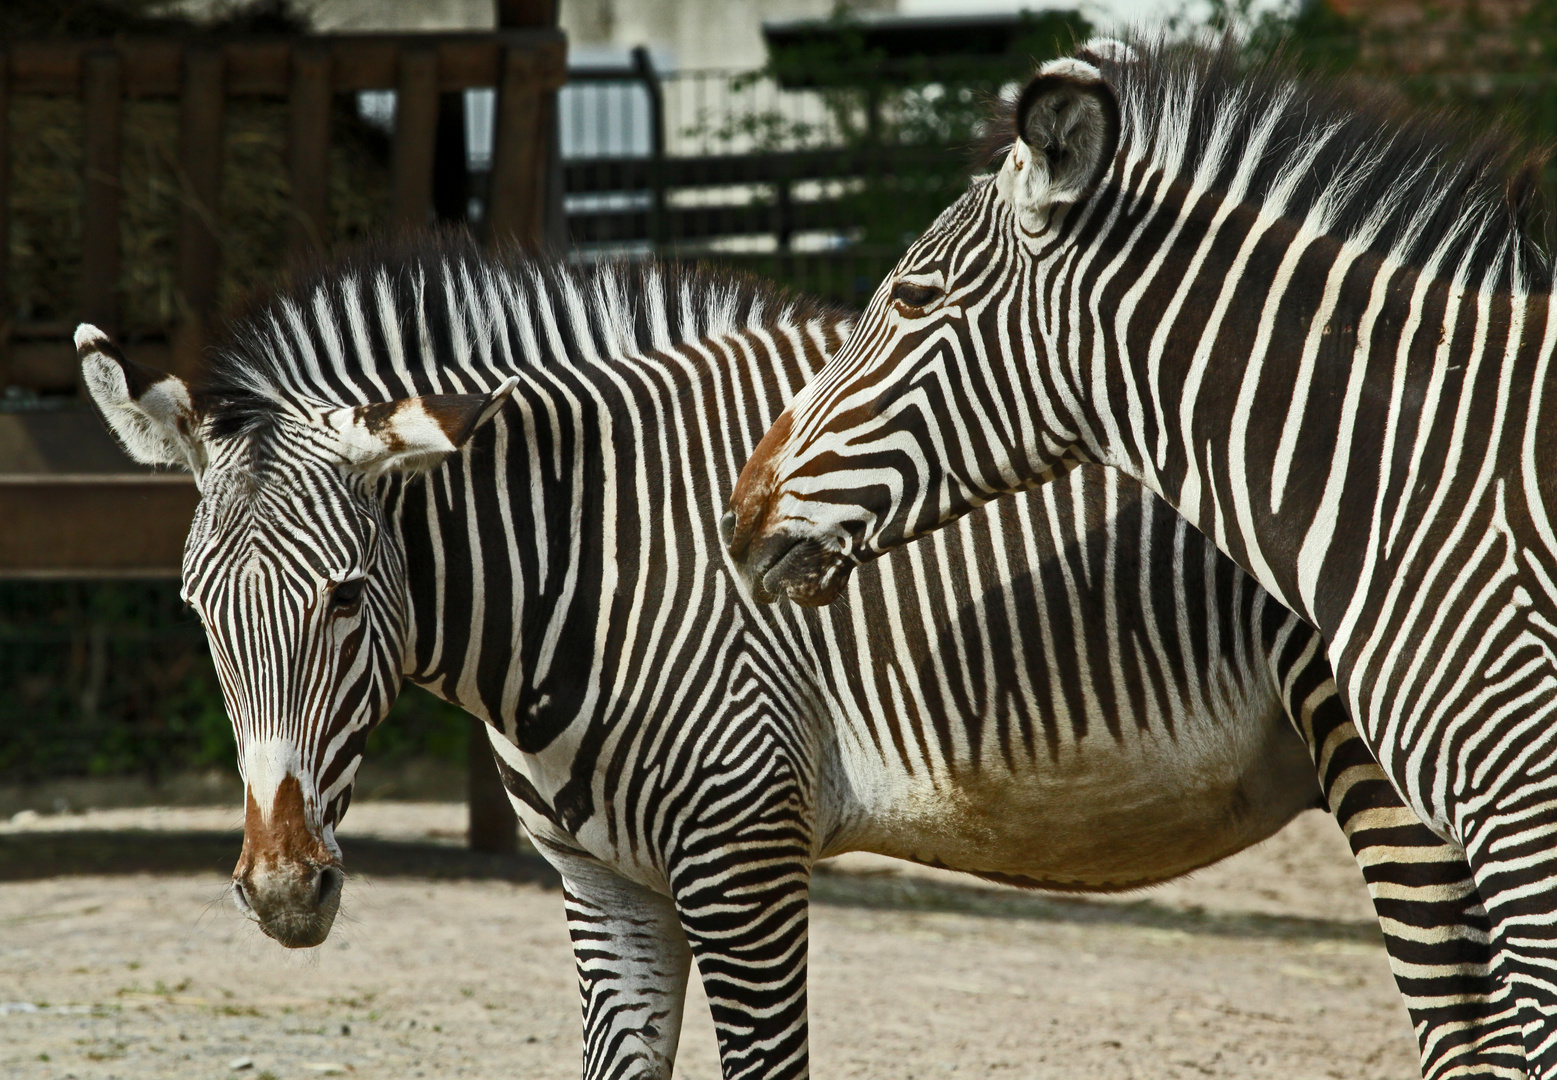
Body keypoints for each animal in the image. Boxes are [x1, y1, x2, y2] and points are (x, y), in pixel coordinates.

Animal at [79, 241, 1488, 1076]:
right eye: (198, 610)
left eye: (348, 600)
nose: (283, 892)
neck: (597, 565)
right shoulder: (605, 886)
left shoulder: (743, 864)